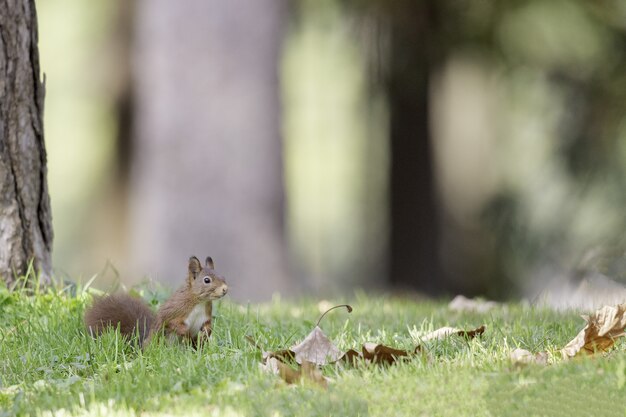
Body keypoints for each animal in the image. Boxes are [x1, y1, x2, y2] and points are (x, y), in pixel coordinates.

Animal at [84, 255, 228, 346]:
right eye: (207, 280)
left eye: (223, 276)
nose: (225, 289)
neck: (199, 302)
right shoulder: (176, 310)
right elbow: (172, 323)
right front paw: (186, 332)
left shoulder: (205, 315)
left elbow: (208, 325)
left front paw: (206, 333)